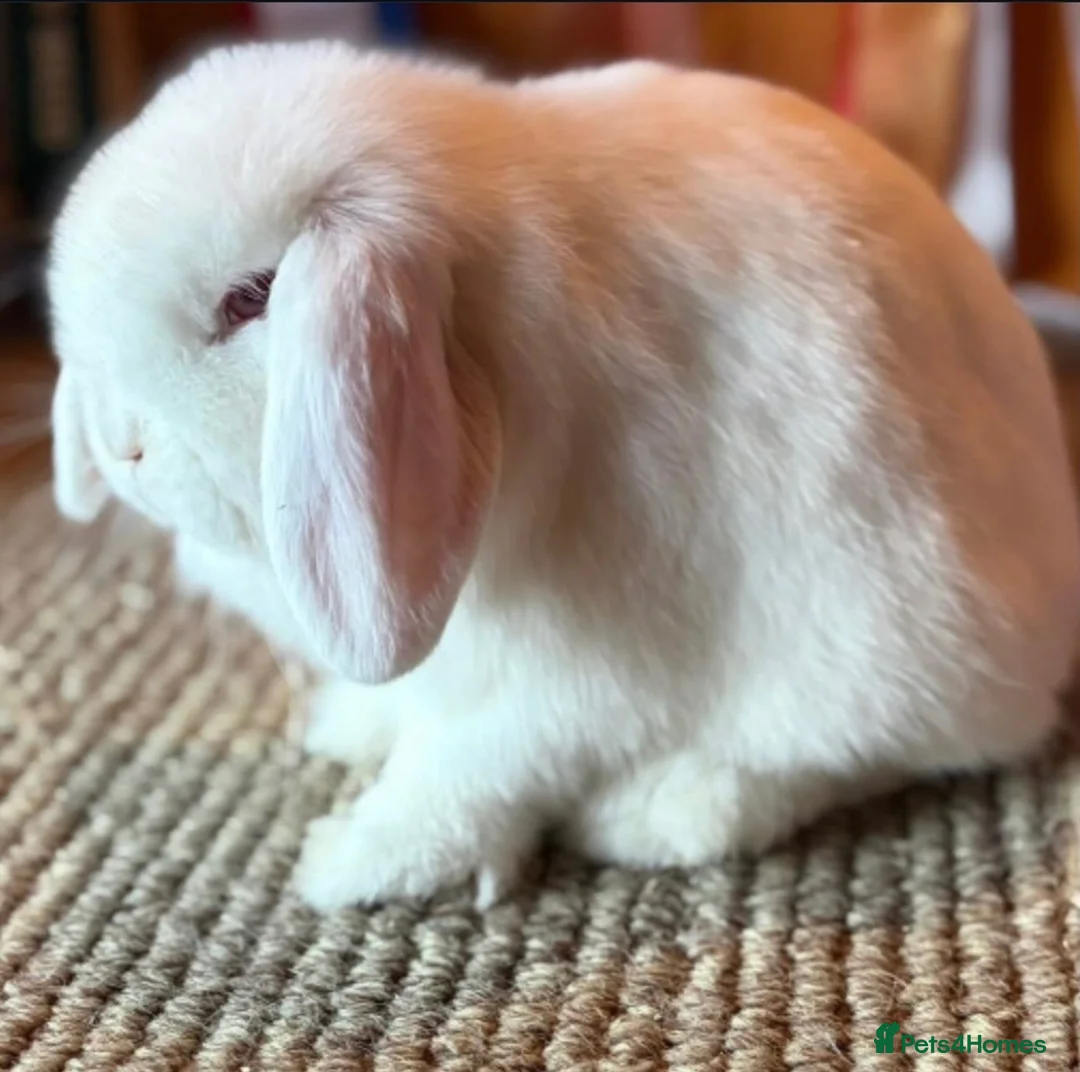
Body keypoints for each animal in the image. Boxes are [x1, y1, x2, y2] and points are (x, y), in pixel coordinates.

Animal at [47, 41, 1080, 912]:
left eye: (250, 298)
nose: (122, 447)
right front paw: (350, 729)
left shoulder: (577, 676)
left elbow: (470, 769)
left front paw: (348, 864)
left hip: (892, 638)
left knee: (855, 756)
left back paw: (662, 810)